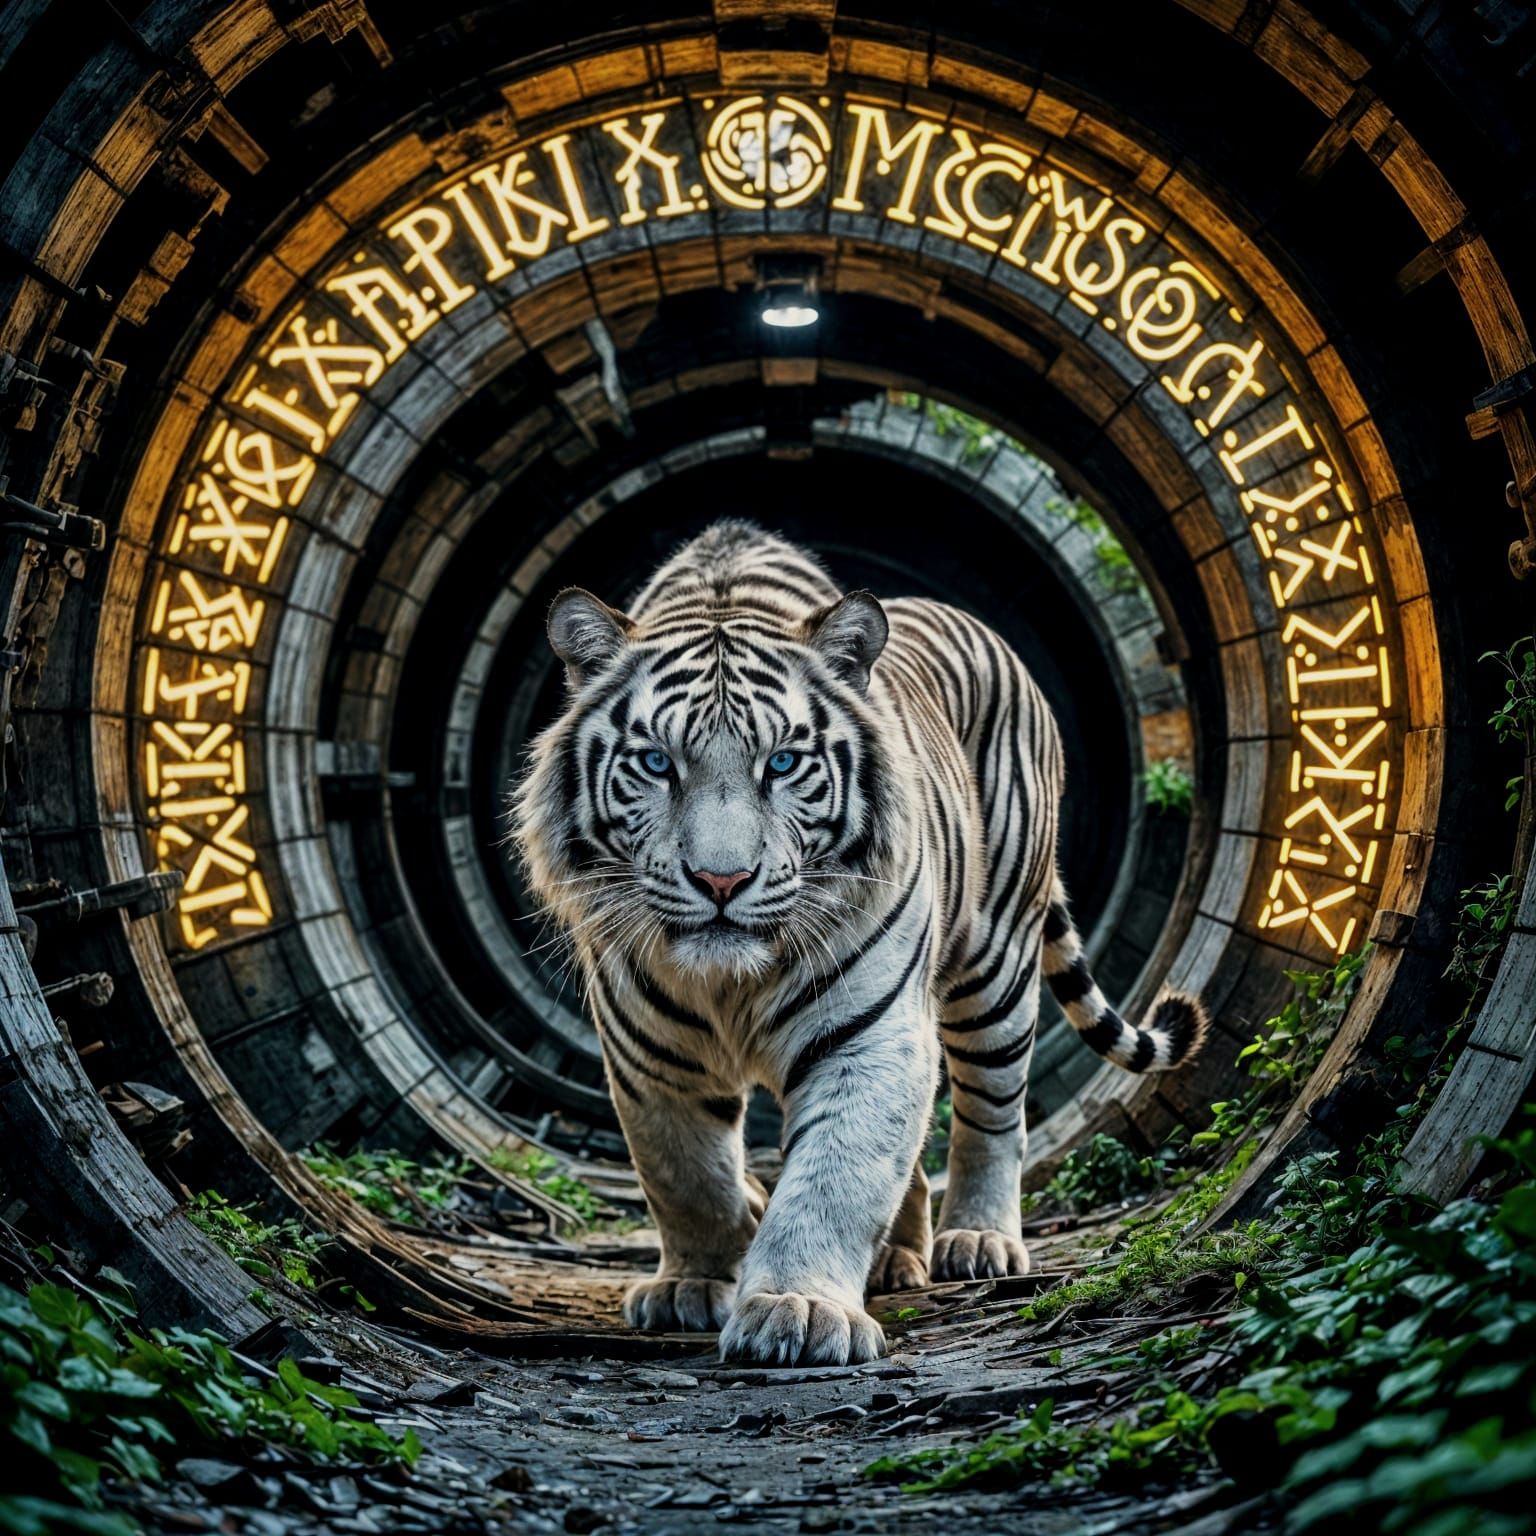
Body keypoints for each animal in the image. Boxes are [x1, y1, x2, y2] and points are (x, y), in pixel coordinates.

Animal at [512, 520, 1207, 1366]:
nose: (721, 880)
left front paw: (798, 1308)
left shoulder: (869, 1034)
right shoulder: (652, 1053)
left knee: (990, 1114)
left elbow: (834, 1176)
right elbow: (685, 1173)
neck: (731, 984)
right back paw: (895, 1258)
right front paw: (696, 1283)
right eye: (655, 763)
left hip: (996, 967)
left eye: (782, 762)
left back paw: (976, 1241)